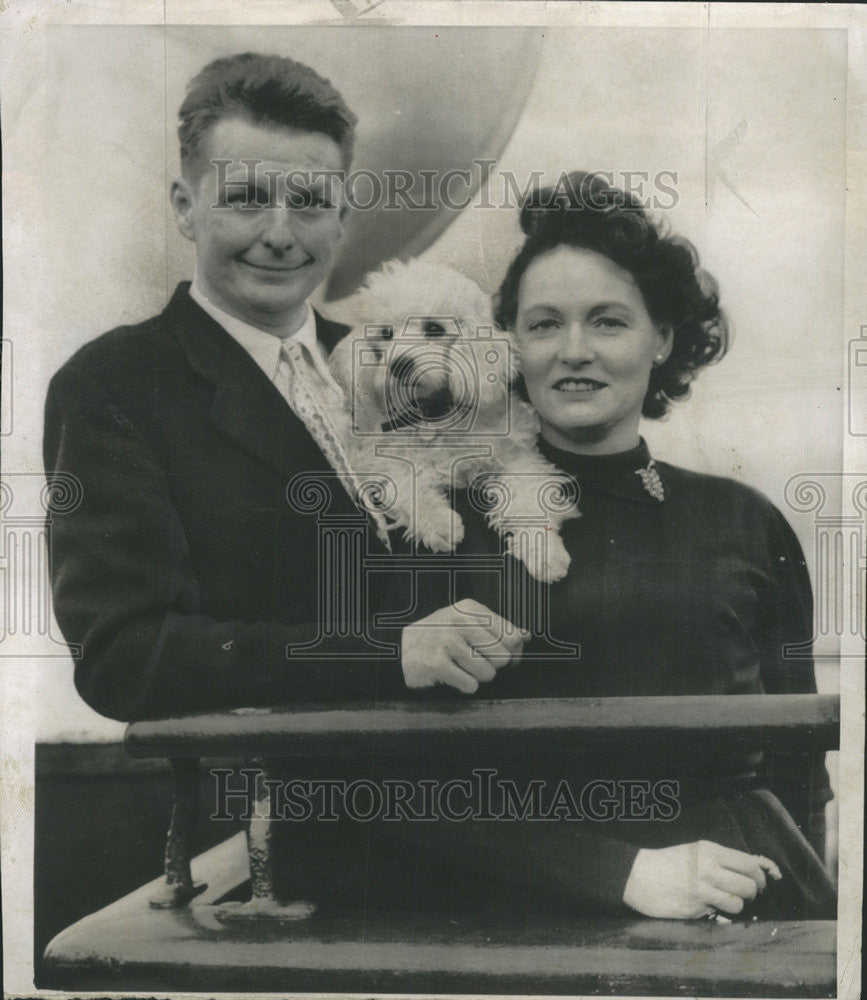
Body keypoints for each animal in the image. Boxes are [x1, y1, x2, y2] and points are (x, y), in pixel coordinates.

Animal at [328, 260, 580, 584]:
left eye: (435, 329)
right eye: (385, 334)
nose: (398, 365)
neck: (435, 413)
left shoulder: (516, 456)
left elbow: (527, 498)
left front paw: (544, 551)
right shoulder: (378, 459)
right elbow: (408, 484)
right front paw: (438, 523)